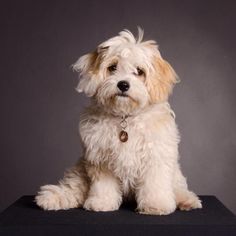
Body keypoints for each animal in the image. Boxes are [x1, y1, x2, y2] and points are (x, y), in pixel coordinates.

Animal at [36, 28, 202, 215]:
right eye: (112, 67)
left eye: (139, 71)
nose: (123, 85)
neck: (125, 117)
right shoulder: (100, 158)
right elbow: (103, 185)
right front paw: (102, 202)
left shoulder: (155, 156)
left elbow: (155, 183)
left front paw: (156, 205)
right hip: (81, 169)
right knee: (73, 187)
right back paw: (50, 198)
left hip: (175, 174)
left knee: (179, 188)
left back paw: (187, 201)